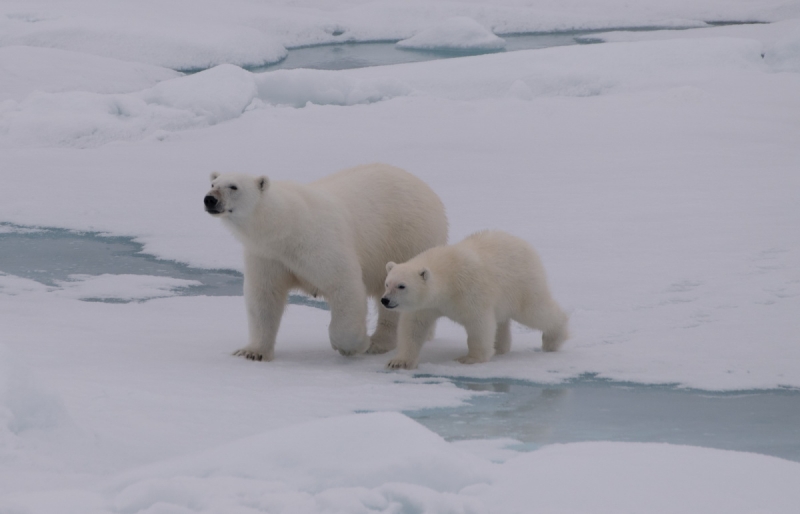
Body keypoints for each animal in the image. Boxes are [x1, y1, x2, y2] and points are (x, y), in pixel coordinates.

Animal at [203, 163, 446, 360]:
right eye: (213, 182)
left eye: (233, 186)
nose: (210, 199)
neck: (286, 227)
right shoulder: (267, 255)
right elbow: (264, 297)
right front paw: (252, 352)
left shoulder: (319, 243)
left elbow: (343, 284)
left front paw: (353, 346)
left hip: (407, 237)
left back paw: (378, 343)